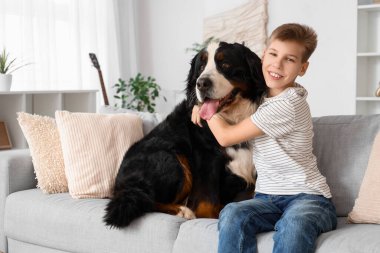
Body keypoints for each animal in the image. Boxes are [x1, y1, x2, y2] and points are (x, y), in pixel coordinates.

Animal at [102, 41, 266, 227]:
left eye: (225, 64)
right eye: (201, 67)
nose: (202, 83)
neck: (234, 120)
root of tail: (119, 186)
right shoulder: (207, 158)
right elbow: (206, 202)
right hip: (170, 158)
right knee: (144, 199)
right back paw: (182, 211)